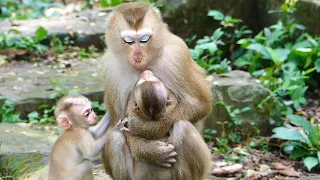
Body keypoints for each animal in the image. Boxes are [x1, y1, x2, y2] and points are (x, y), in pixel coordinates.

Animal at [101, 0, 211, 172]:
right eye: (129, 41)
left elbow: (201, 105)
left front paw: (141, 127)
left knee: (182, 127)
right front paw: (148, 151)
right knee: (115, 138)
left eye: (144, 39)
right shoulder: (110, 69)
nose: (138, 57)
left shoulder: (178, 55)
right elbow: (117, 122)